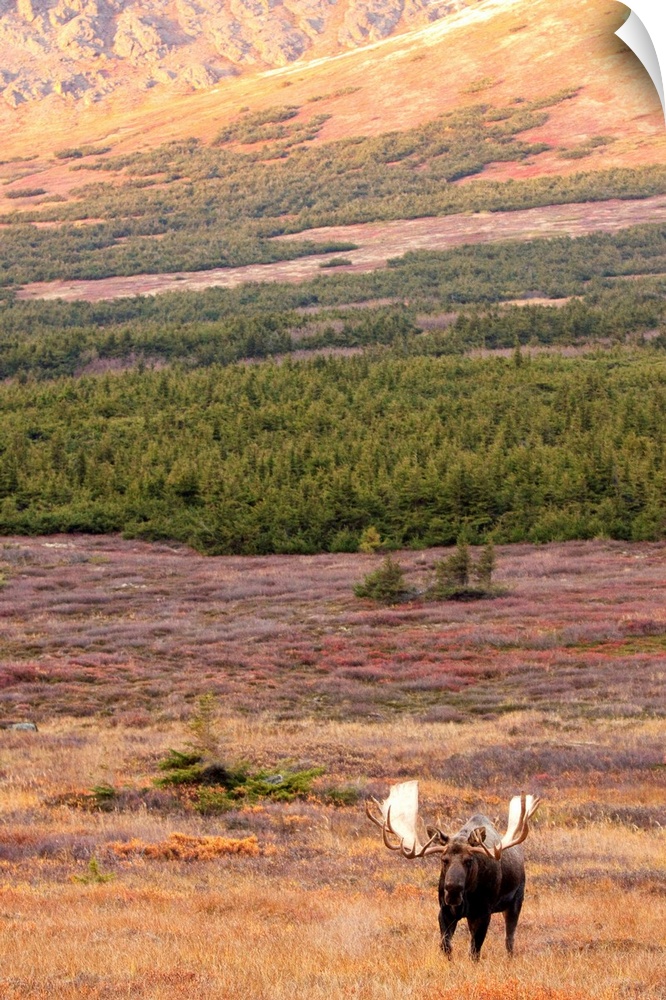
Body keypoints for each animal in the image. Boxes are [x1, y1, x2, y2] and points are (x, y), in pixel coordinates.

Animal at [366, 781, 541, 960]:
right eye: (444, 859)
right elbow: (446, 946)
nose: (452, 890)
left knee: (509, 939)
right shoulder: (445, 911)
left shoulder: (483, 912)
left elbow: (474, 951)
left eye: (469, 860)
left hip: (515, 902)